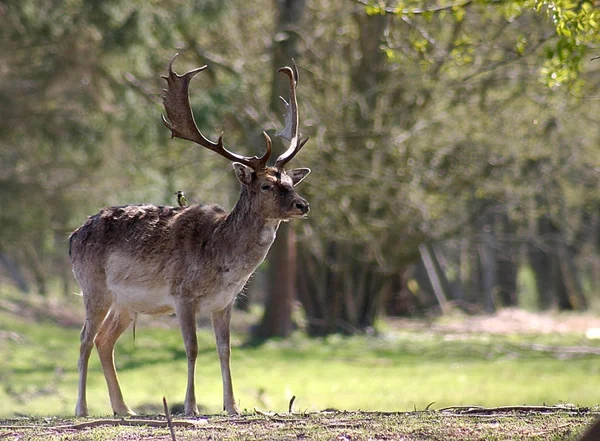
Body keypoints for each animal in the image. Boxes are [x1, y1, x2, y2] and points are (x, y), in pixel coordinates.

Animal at [70, 55, 312, 416]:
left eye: (291, 182)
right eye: (267, 185)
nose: (303, 205)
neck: (222, 263)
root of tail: (72, 237)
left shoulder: (225, 302)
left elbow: (225, 350)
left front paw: (232, 406)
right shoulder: (182, 293)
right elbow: (193, 347)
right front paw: (190, 407)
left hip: (125, 301)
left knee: (105, 340)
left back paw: (124, 409)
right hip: (93, 285)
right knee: (85, 337)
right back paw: (82, 408)